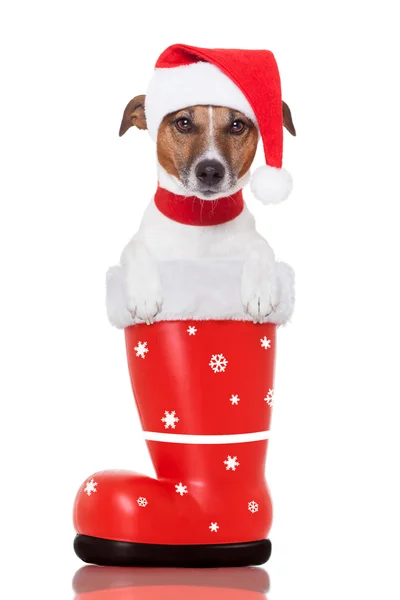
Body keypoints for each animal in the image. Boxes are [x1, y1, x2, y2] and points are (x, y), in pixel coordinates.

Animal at [107, 94, 296, 328]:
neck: (200, 218)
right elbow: (133, 247)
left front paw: (260, 292)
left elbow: (262, 246)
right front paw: (144, 295)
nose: (210, 171)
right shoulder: (142, 242)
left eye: (237, 125)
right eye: (183, 123)